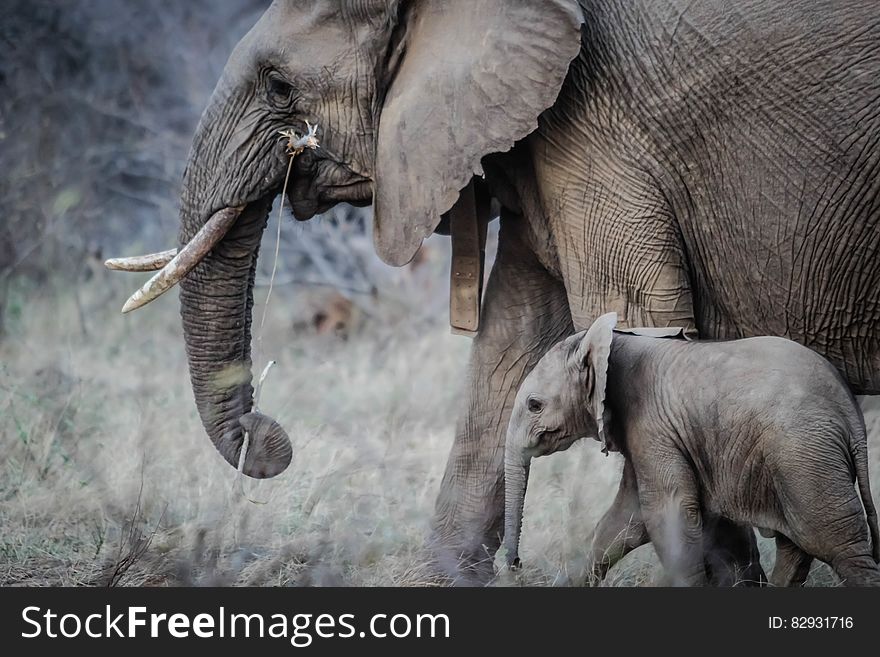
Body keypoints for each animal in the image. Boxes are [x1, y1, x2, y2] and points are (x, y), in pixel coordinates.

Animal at [502, 312, 880, 584]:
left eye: (534, 405)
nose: (516, 564)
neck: (611, 340)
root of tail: (850, 413)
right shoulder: (649, 433)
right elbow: (625, 521)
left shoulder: (652, 425)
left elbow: (667, 515)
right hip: (798, 460)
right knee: (797, 545)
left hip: (804, 456)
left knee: (836, 545)